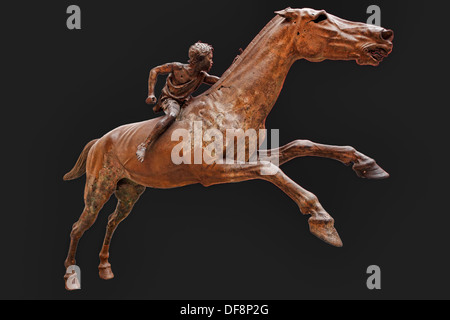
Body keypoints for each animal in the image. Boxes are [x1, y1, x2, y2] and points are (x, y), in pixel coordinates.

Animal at [63, 8, 394, 288]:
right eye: (320, 17)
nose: (384, 35)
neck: (227, 106)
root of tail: (99, 141)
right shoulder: (211, 171)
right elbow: (271, 170)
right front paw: (323, 222)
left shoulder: (244, 158)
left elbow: (299, 146)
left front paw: (368, 165)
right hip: (98, 189)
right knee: (80, 226)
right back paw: (71, 277)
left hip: (130, 190)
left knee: (111, 221)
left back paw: (105, 268)